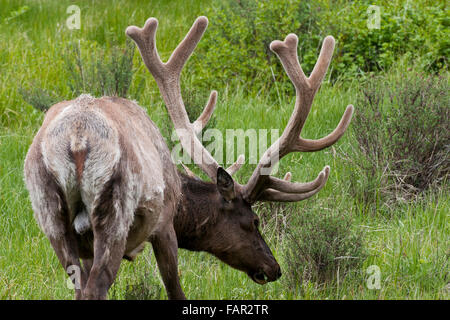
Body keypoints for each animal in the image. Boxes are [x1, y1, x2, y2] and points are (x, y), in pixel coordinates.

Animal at [23, 16, 356, 298]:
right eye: (254, 220)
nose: (274, 268)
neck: (180, 197)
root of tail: (77, 139)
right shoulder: (163, 225)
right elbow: (175, 290)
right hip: (114, 211)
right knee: (96, 287)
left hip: (50, 213)